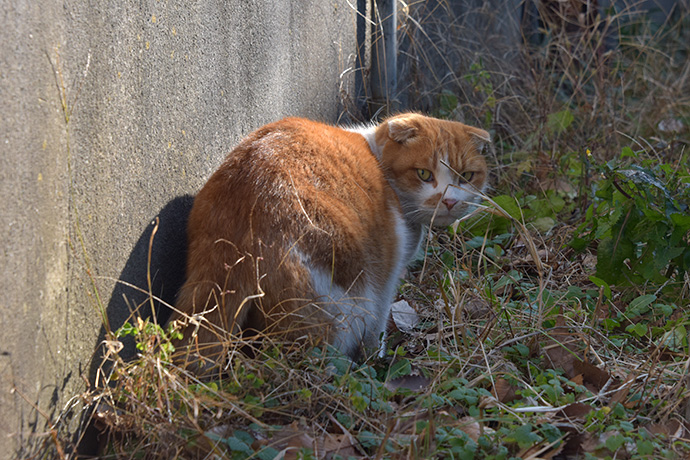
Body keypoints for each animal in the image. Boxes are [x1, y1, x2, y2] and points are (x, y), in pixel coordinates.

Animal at [168, 114, 490, 370]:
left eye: (466, 176)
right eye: (424, 174)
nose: (449, 201)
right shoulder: (386, 278)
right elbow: (378, 325)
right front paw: (377, 358)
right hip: (343, 300)